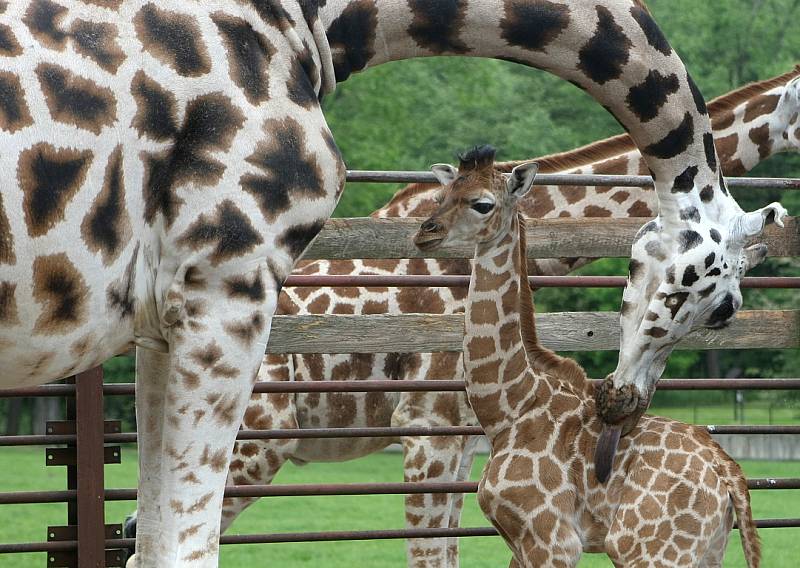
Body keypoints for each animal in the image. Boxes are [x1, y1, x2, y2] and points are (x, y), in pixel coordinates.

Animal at [416, 146, 760, 568]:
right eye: (442, 195)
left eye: (482, 204)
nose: (425, 233)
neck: (508, 408)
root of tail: (727, 472)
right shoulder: (519, 542)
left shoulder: (552, 539)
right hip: (706, 548)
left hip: (645, 549)